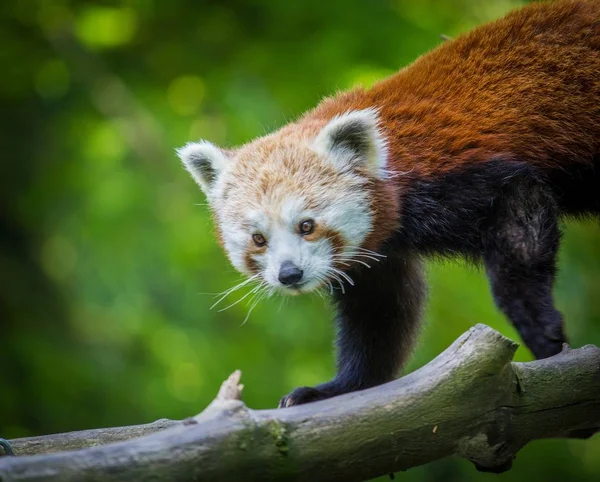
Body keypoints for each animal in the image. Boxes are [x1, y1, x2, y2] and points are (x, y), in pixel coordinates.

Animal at [177, 0, 600, 406]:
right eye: (258, 239)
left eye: (306, 225)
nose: (289, 274)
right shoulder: (377, 253)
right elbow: (380, 317)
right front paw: (338, 388)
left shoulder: (465, 175)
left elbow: (520, 225)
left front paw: (542, 331)